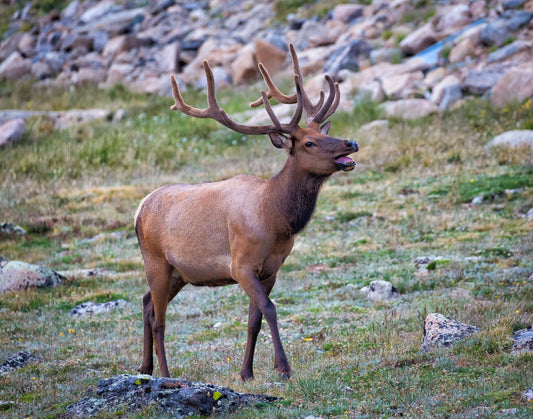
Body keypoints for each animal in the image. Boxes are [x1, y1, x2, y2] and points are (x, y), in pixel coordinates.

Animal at [134, 44, 358, 382]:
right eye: (310, 142)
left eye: (324, 132)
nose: (351, 142)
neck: (274, 218)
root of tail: (140, 208)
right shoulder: (241, 264)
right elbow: (270, 309)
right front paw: (283, 368)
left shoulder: (270, 269)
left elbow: (254, 320)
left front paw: (246, 372)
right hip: (156, 261)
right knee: (159, 320)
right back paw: (165, 374)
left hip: (179, 273)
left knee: (147, 303)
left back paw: (144, 368)